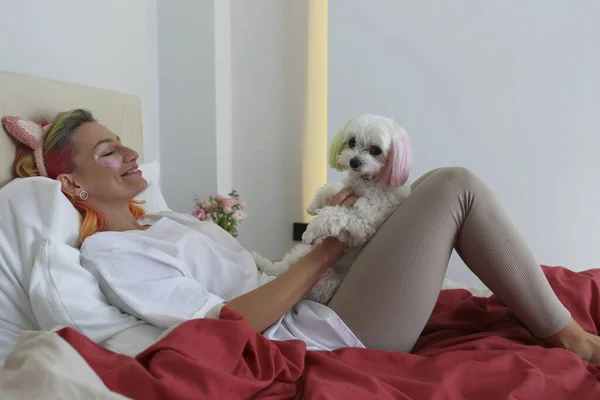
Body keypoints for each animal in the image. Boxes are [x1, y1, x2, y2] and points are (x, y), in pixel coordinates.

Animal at [252, 114, 412, 304]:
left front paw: (311, 230)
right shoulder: (348, 188)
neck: (366, 181)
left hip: (324, 280)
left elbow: (335, 213)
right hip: (303, 255)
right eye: (351, 142)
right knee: (283, 268)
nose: (353, 161)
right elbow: (330, 189)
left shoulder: (364, 222)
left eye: (376, 150)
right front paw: (314, 205)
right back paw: (261, 262)